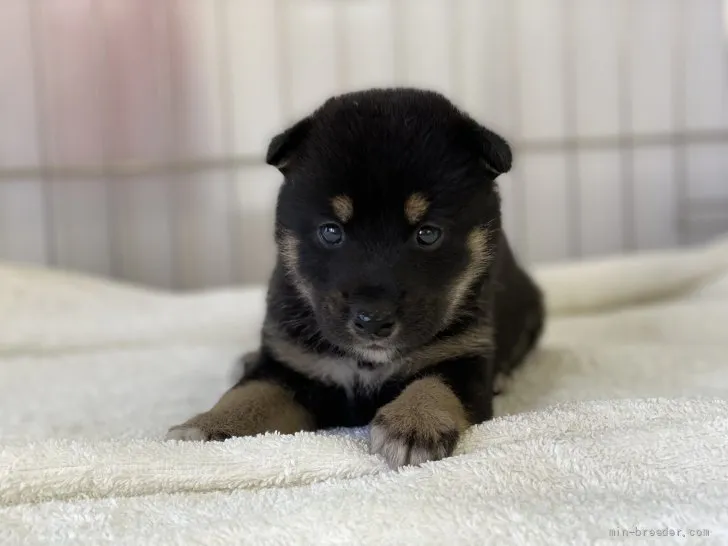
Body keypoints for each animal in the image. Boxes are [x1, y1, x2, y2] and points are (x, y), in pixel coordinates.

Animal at [168, 87, 544, 466]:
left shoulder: (464, 355)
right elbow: (252, 393)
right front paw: (206, 426)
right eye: (331, 231)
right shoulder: (293, 365)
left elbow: (436, 383)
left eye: (428, 234)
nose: (373, 320)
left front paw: (414, 423)